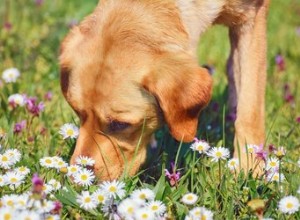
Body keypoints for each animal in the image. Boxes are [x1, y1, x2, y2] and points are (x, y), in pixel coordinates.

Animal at [60, 0, 270, 180]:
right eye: (77, 111)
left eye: (120, 124)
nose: (75, 179)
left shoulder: (252, 17)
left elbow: (249, 112)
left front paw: (249, 168)